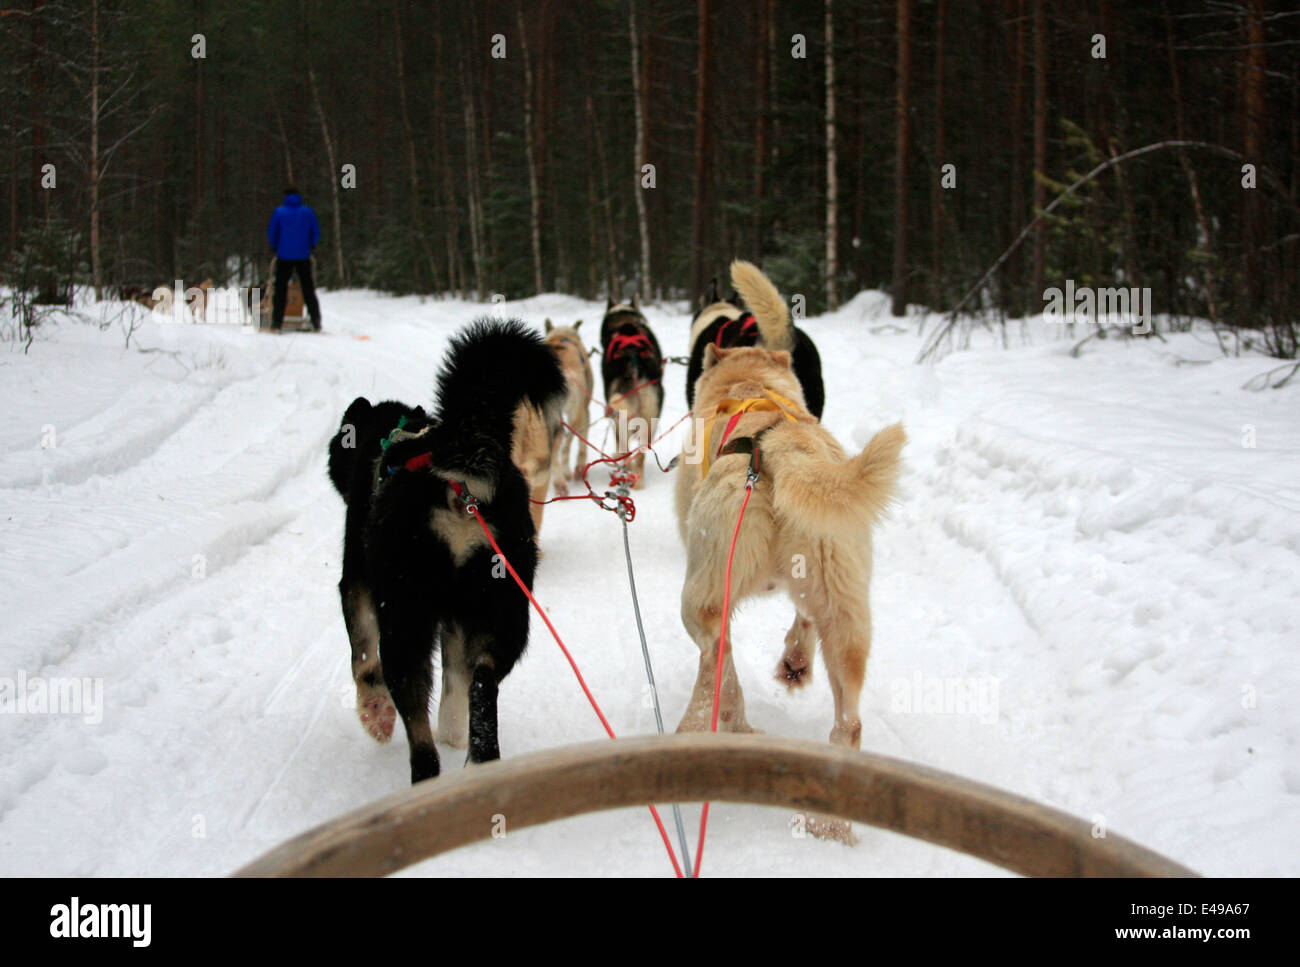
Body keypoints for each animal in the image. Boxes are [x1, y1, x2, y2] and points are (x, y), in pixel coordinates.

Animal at [325, 319, 564, 785]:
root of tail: (459, 482)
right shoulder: (457, 621)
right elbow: (455, 682)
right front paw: (455, 732)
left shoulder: (357, 582)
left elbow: (361, 656)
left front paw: (373, 711)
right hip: (505, 613)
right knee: (481, 682)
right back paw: (482, 757)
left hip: (405, 621)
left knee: (419, 732)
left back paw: (424, 777)